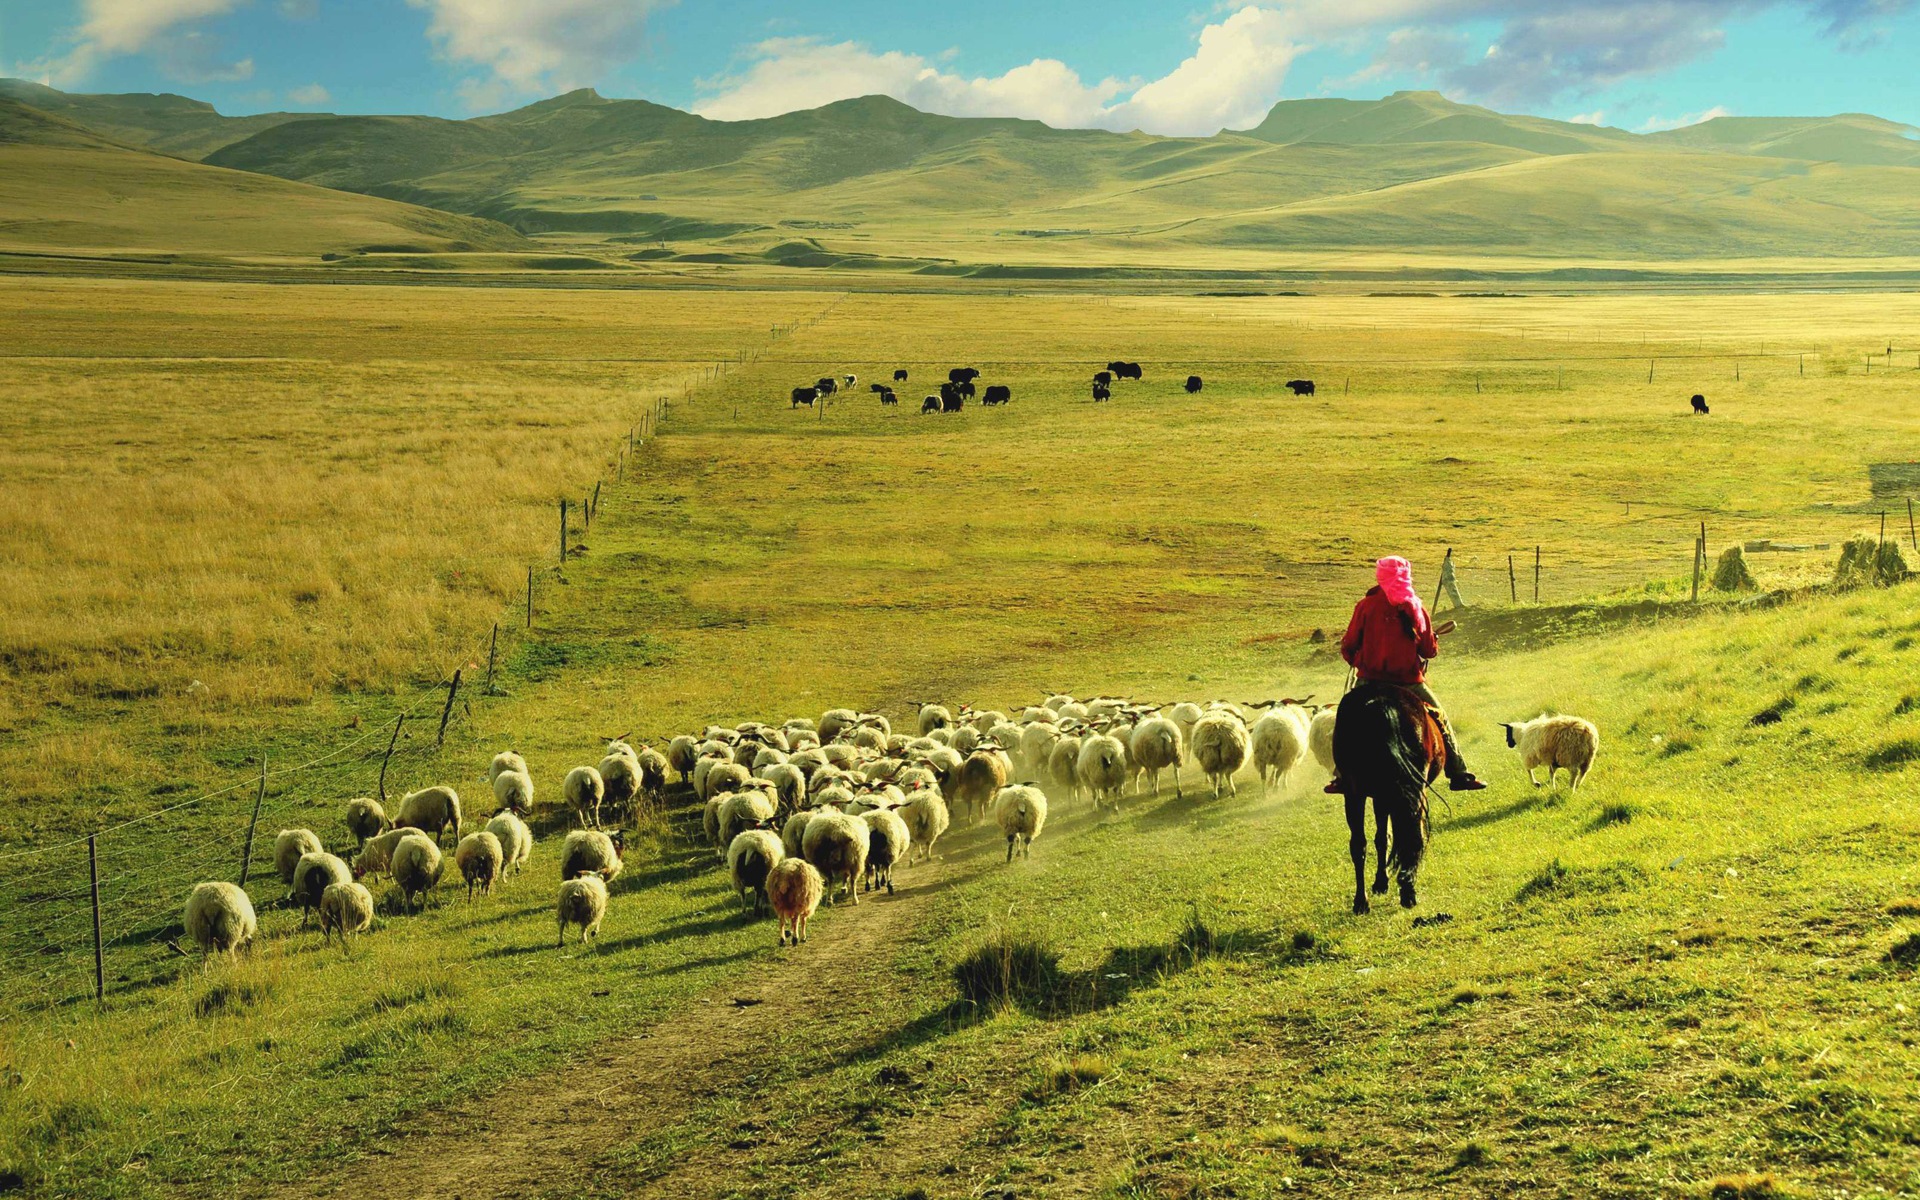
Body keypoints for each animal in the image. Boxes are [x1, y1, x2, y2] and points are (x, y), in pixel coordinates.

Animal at [1336, 679, 1443, 913]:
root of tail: (1382, 704)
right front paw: (1384, 881)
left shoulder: (1380, 796)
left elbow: (1381, 837)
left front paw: (1381, 882)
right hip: (1410, 789)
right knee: (1413, 834)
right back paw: (1407, 892)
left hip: (1355, 792)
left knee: (1358, 844)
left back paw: (1361, 902)